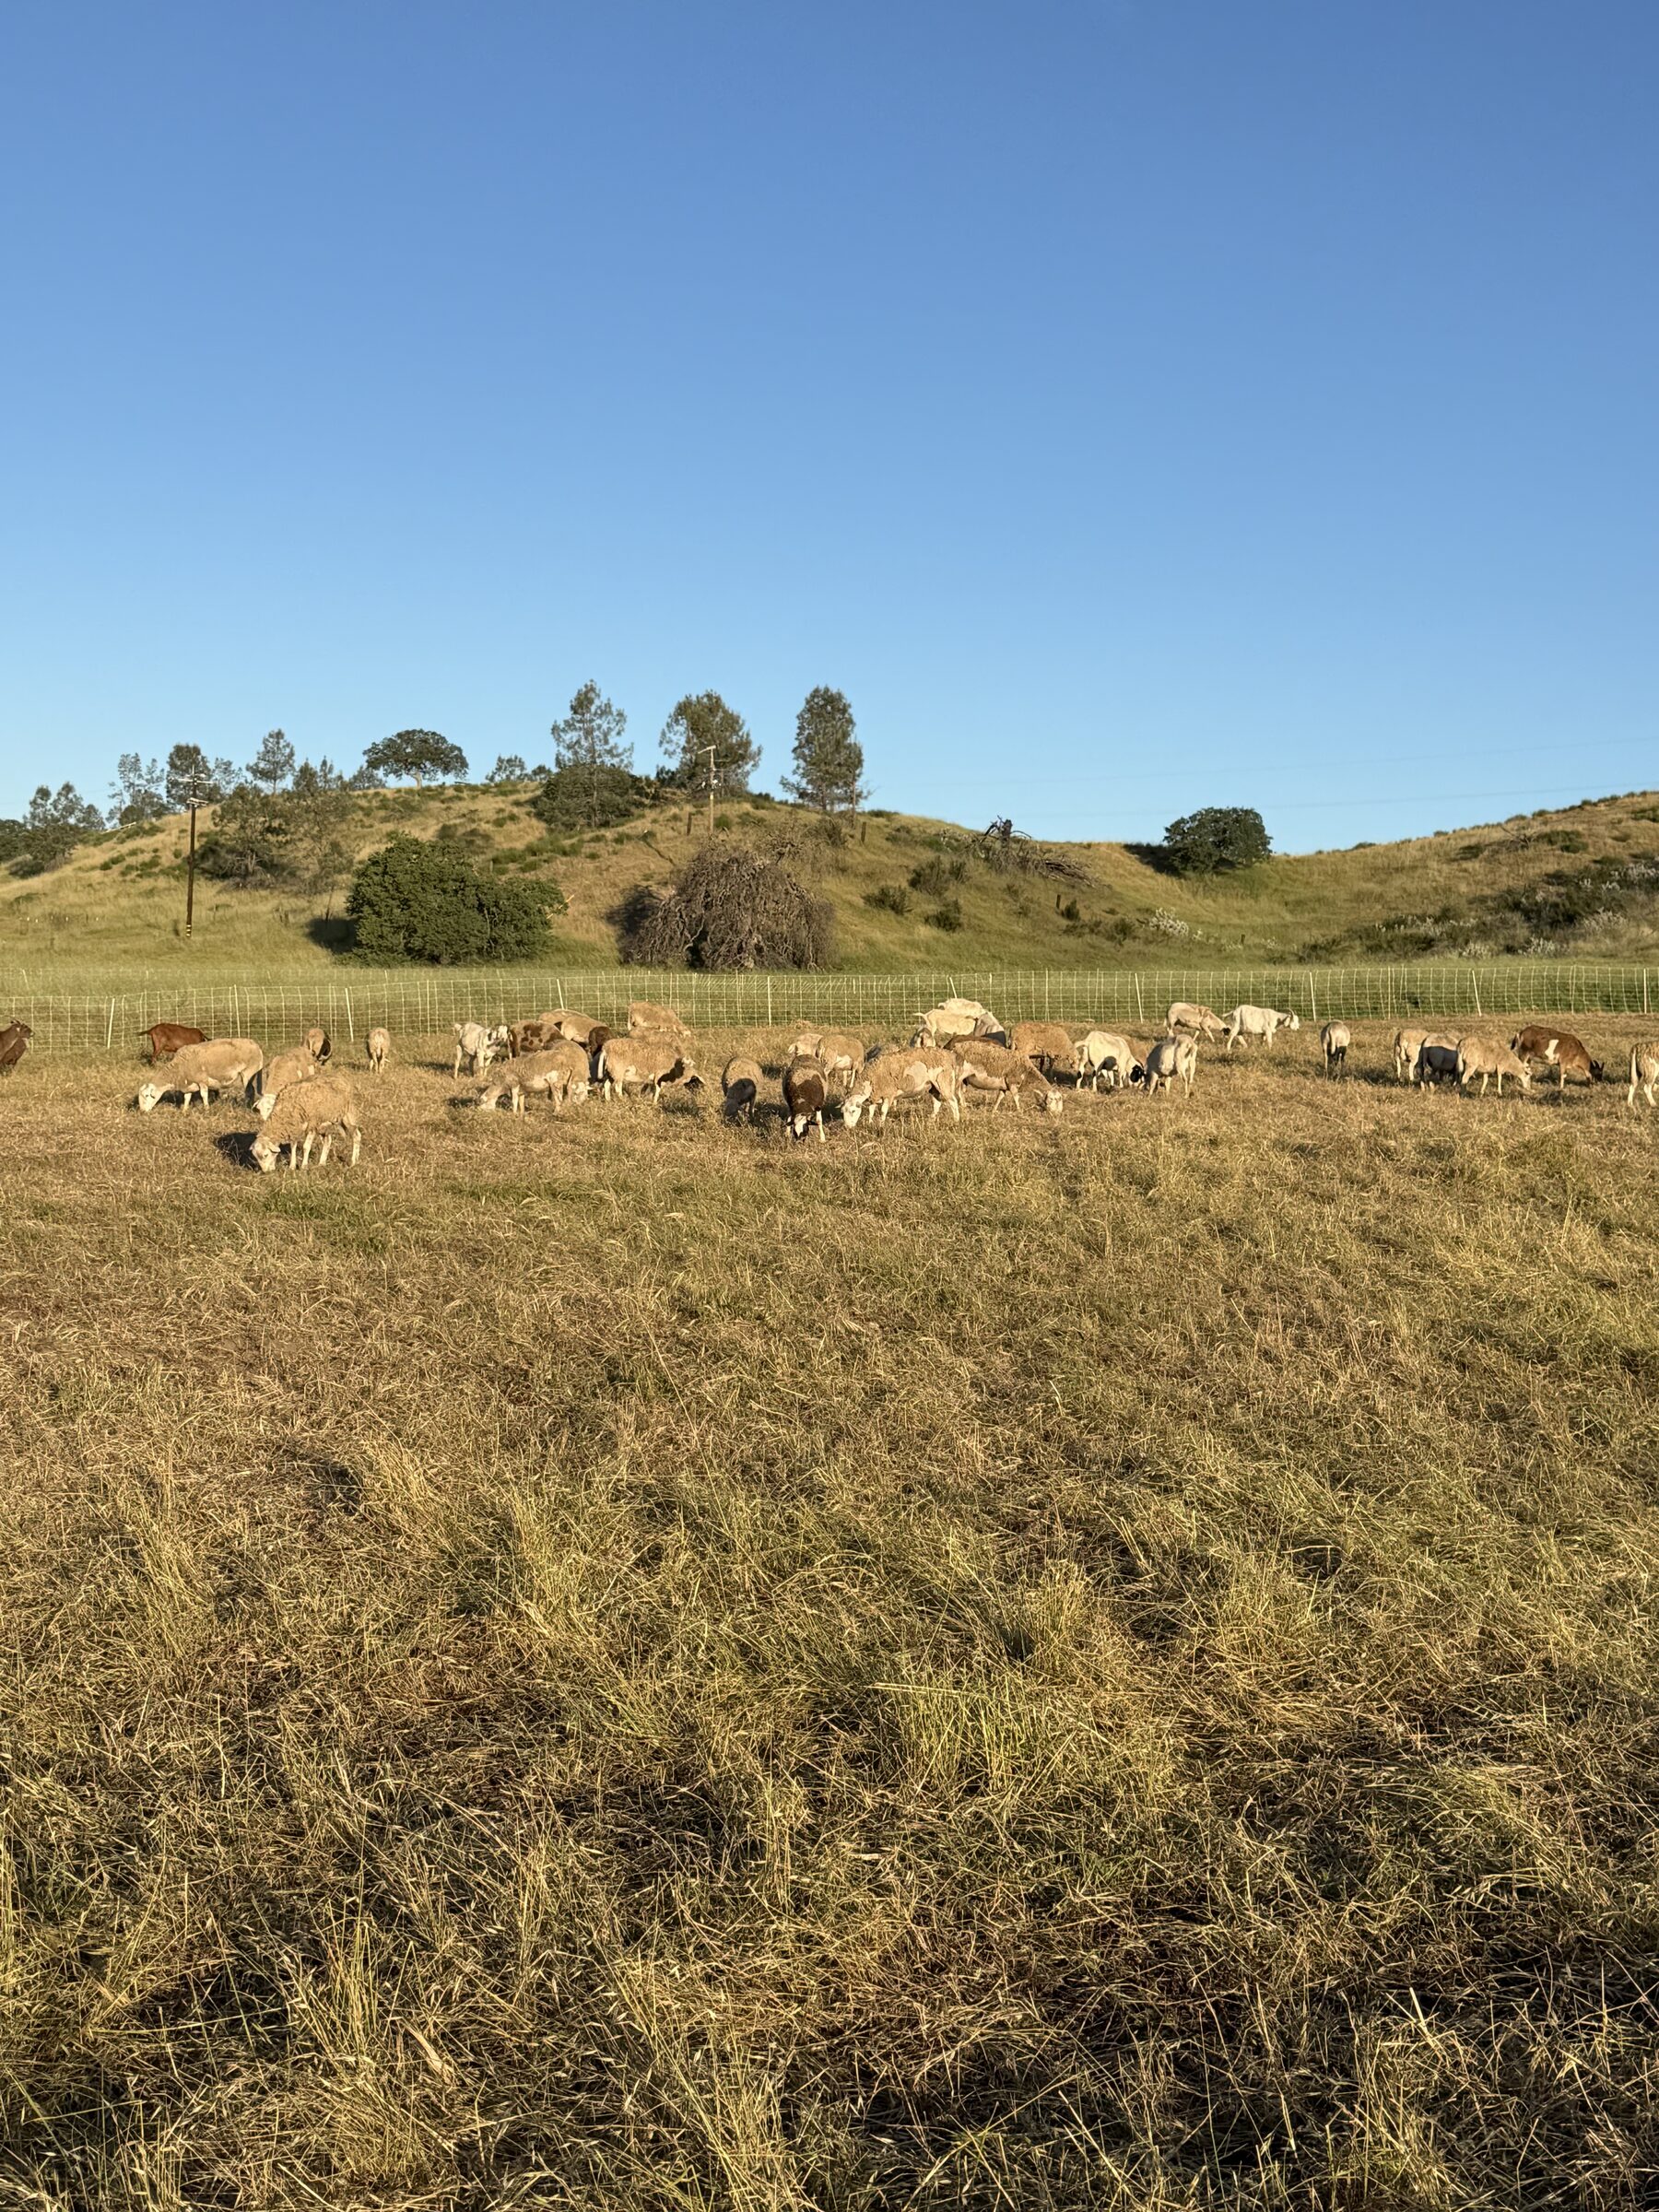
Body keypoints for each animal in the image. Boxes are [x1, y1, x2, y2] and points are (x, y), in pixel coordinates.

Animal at [136, 1038, 264, 1113]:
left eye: (147, 1095)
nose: (142, 1111)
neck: (178, 1069)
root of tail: (256, 1046)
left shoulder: (202, 1080)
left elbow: (203, 1095)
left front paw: (206, 1109)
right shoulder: (188, 1084)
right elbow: (187, 1098)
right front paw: (184, 1111)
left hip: (248, 1072)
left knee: (249, 1091)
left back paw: (246, 1107)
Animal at [841, 1047, 962, 1129]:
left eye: (853, 1111)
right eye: (843, 1111)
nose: (847, 1127)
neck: (870, 1078)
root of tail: (949, 1055)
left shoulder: (888, 1094)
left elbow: (883, 1111)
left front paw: (881, 1125)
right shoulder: (875, 1095)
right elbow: (871, 1110)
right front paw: (870, 1123)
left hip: (943, 1082)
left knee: (953, 1101)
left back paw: (956, 1121)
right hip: (933, 1087)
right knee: (937, 1103)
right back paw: (931, 1121)